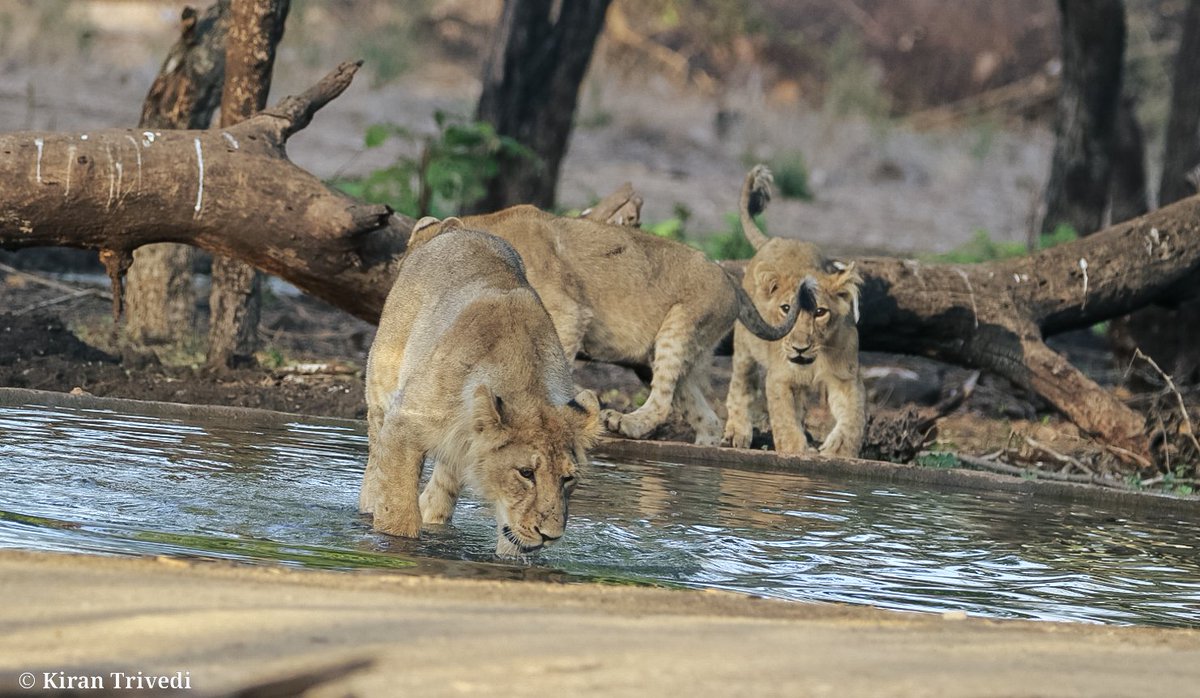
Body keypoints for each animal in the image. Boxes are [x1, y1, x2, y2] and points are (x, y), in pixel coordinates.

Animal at [720, 165, 864, 460]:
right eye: (786, 309)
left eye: (820, 312)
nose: (799, 348)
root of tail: (775, 239)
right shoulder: (780, 379)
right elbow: (785, 419)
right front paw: (796, 451)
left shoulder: (845, 376)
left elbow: (853, 416)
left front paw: (840, 449)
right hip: (745, 349)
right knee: (741, 386)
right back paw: (738, 431)